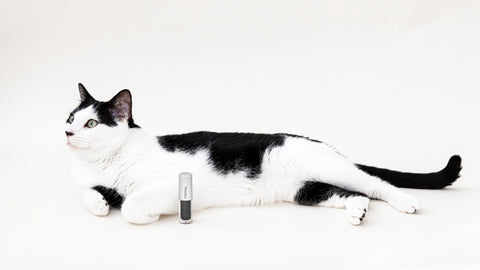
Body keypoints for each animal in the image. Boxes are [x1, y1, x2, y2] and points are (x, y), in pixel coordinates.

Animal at [65, 83, 464, 225]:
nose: (67, 133)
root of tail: (324, 145)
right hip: (306, 190)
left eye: (91, 124)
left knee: (375, 183)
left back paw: (406, 202)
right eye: (71, 118)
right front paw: (99, 204)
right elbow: (90, 192)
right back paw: (358, 212)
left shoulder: (172, 184)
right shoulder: (105, 182)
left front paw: (147, 213)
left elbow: (132, 205)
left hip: (331, 169)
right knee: (356, 194)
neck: (112, 161)